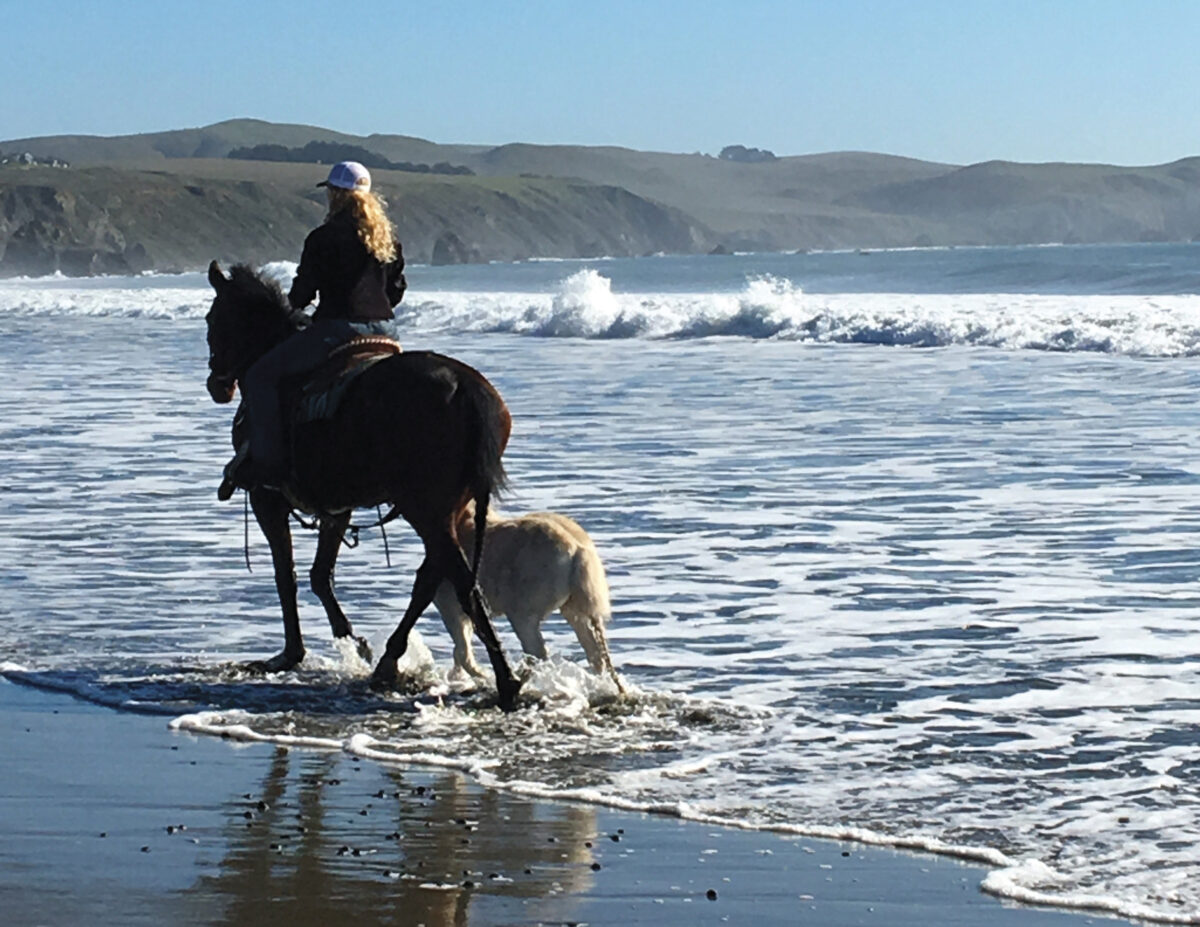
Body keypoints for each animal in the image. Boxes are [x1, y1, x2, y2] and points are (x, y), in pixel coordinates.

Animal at [202, 260, 520, 710]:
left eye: (213, 319)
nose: (217, 384)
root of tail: (466, 387)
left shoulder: (268, 499)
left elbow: (287, 575)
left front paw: (293, 654)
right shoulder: (337, 507)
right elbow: (320, 575)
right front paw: (354, 642)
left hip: (426, 508)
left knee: (459, 580)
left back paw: (507, 680)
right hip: (443, 508)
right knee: (431, 576)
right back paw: (389, 661)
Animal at [439, 504, 628, 691]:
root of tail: (577, 548)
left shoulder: (452, 608)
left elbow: (463, 653)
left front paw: (481, 677)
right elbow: (460, 651)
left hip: (522, 616)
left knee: (538, 653)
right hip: (575, 611)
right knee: (595, 654)